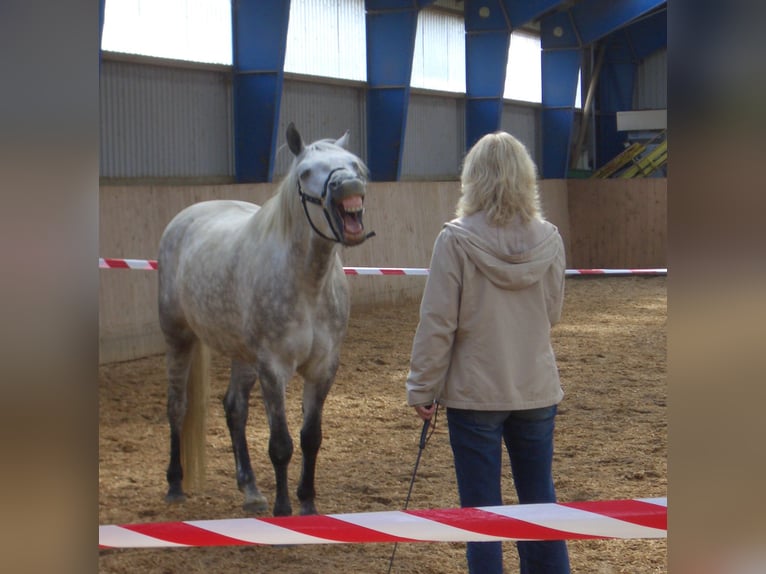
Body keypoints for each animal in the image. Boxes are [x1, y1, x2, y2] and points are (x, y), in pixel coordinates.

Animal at [158, 124, 374, 520]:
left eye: (355, 165)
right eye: (306, 172)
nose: (348, 186)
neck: (308, 284)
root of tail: (187, 217)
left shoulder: (322, 368)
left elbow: (310, 438)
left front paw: (307, 503)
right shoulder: (273, 369)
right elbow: (281, 444)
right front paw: (283, 508)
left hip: (243, 356)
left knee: (234, 410)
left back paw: (250, 489)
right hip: (178, 338)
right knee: (177, 406)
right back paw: (176, 484)